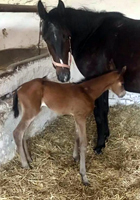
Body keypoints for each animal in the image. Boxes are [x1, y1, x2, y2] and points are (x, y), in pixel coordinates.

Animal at [37, 0, 140, 153]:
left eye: (65, 35)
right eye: (45, 38)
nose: (63, 76)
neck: (92, 35)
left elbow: (99, 113)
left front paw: (100, 145)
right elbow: (104, 110)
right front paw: (106, 136)